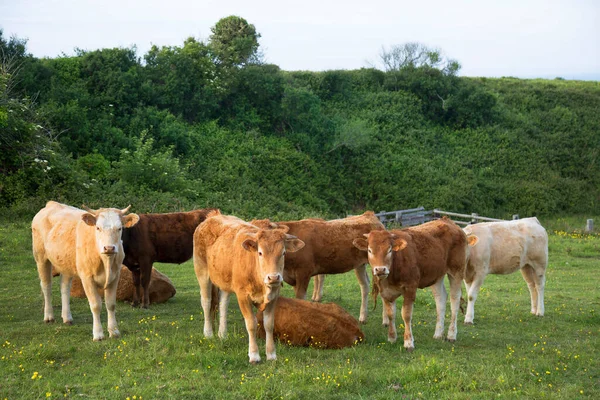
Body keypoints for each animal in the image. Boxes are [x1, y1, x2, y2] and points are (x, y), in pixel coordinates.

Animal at [33, 202, 141, 340]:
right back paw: (49, 316)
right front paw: (98, 334)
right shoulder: (87, 278)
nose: (109, 248)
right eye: (98, 228)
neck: (105, 261)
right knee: (46, 286)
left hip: (66, 263)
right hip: (41, 258)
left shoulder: (115, 277)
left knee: (65, 287)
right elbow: (95, 305)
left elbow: (111, 304)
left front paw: (114, 331)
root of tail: (51, 204)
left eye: (119, 228)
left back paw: (67, 317)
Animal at [193, 211, 304, 364]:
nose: (274, 277)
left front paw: (271, 354)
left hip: (225, 280)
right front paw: (254, 355)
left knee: (223, 304)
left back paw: (222, 334)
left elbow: (269, 324)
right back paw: (208, 333)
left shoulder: (274, 296)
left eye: (283, 253)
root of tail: (213, 216)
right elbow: (251, 323)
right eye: (260, 252)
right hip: (202, 272)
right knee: (206, 301)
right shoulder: (243, 296)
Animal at [250, 211, 384, 324]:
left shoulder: (303, 273)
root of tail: (369, 214)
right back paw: (363, 318)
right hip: (359, 265)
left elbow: (300, 298)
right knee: (364, 286)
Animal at [352, 217, 478, 352]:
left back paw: (451, 335)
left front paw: (408, 342)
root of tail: (449, 221)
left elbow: (406, 314)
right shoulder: (385, 291)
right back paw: (438, 334)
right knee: (441, 299)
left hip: (456, 272)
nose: (380, 270)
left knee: (454, 300)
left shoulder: (410, 288)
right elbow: (391, 314)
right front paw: (392, 338)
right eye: (370, 250)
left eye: (389, 250)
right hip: (436, 274)